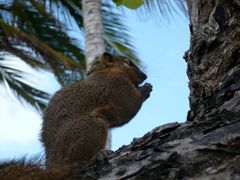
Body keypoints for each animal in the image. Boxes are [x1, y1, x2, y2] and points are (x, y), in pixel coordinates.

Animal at [0, 52, 153, 179]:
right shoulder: (116, 86)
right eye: (128, 62)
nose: (145, 76)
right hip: (92, 127)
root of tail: (55, 165)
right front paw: (146, 88)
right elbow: (130, 106)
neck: (105, 71)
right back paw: (99, 155)